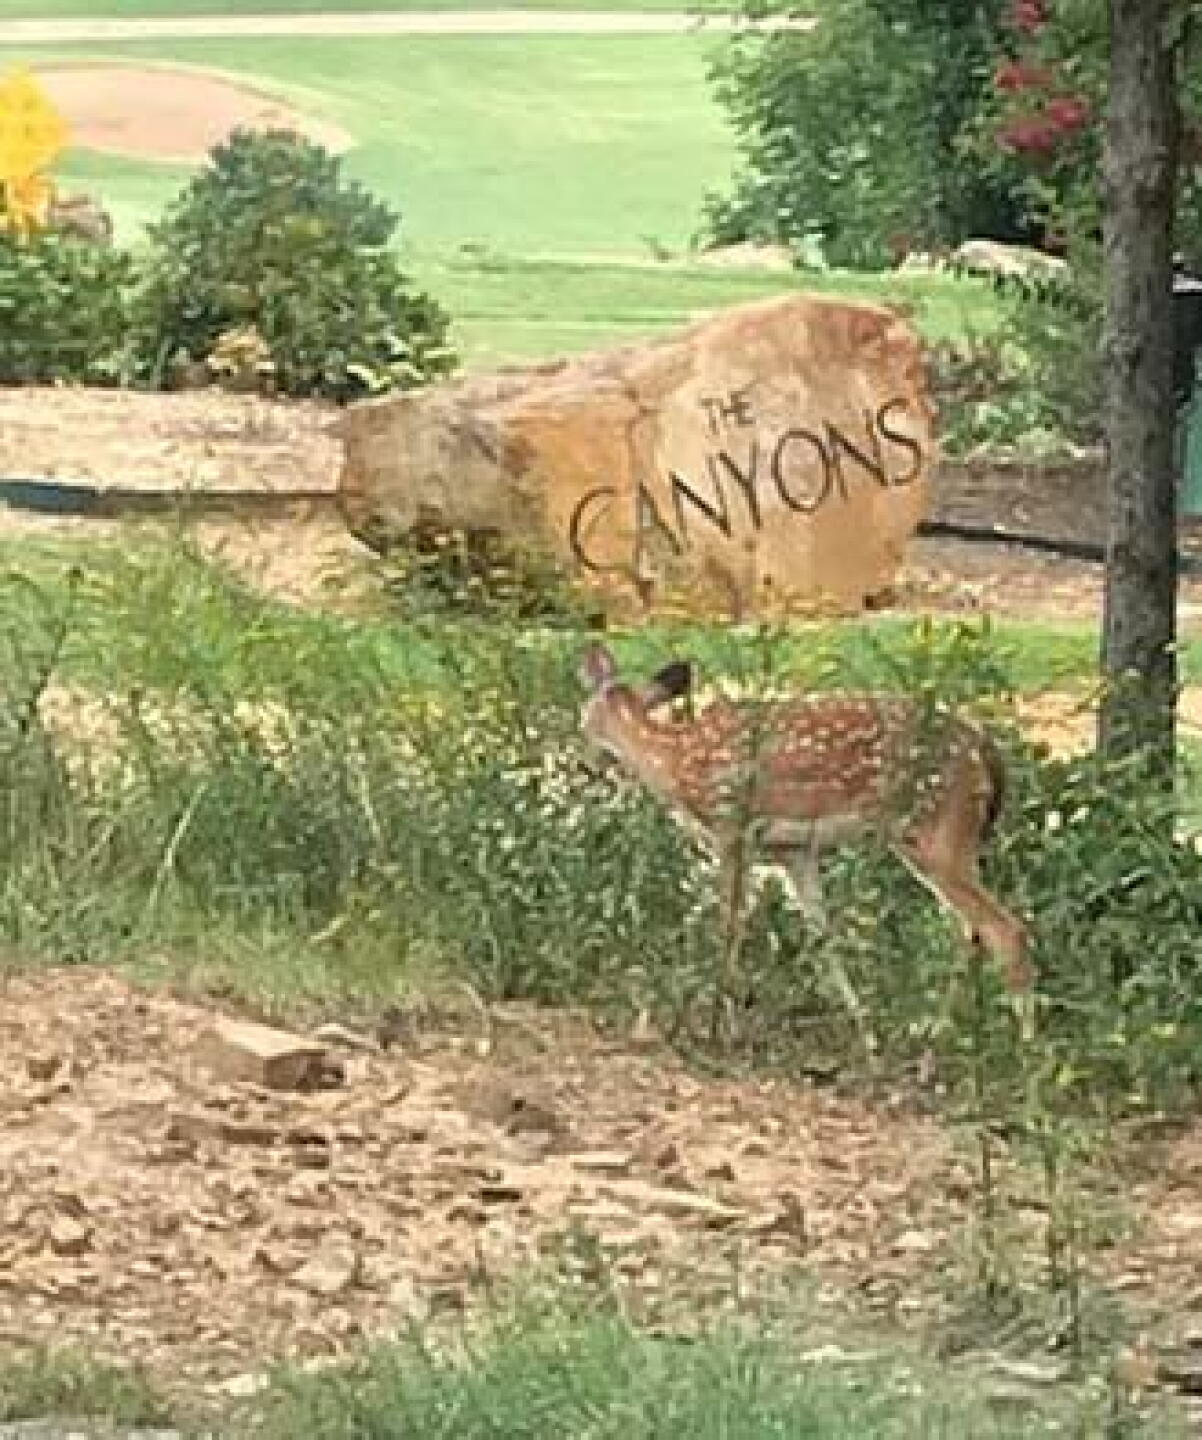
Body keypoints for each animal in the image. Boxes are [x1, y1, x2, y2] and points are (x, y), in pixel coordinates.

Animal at [578, 643, 1033, 1044]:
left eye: (581, 719)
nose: (586, 761)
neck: (673, 761)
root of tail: (986, 751)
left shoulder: (730, 831)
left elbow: (728, 928)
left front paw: (716, 1026)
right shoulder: (793, 853)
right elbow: (822, 934)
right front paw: (865, 1031)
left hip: (936, 832)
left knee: (1004, 928)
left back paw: (1023, 1049)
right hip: (950, 841)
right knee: (969, 931)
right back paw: (938, 1033)